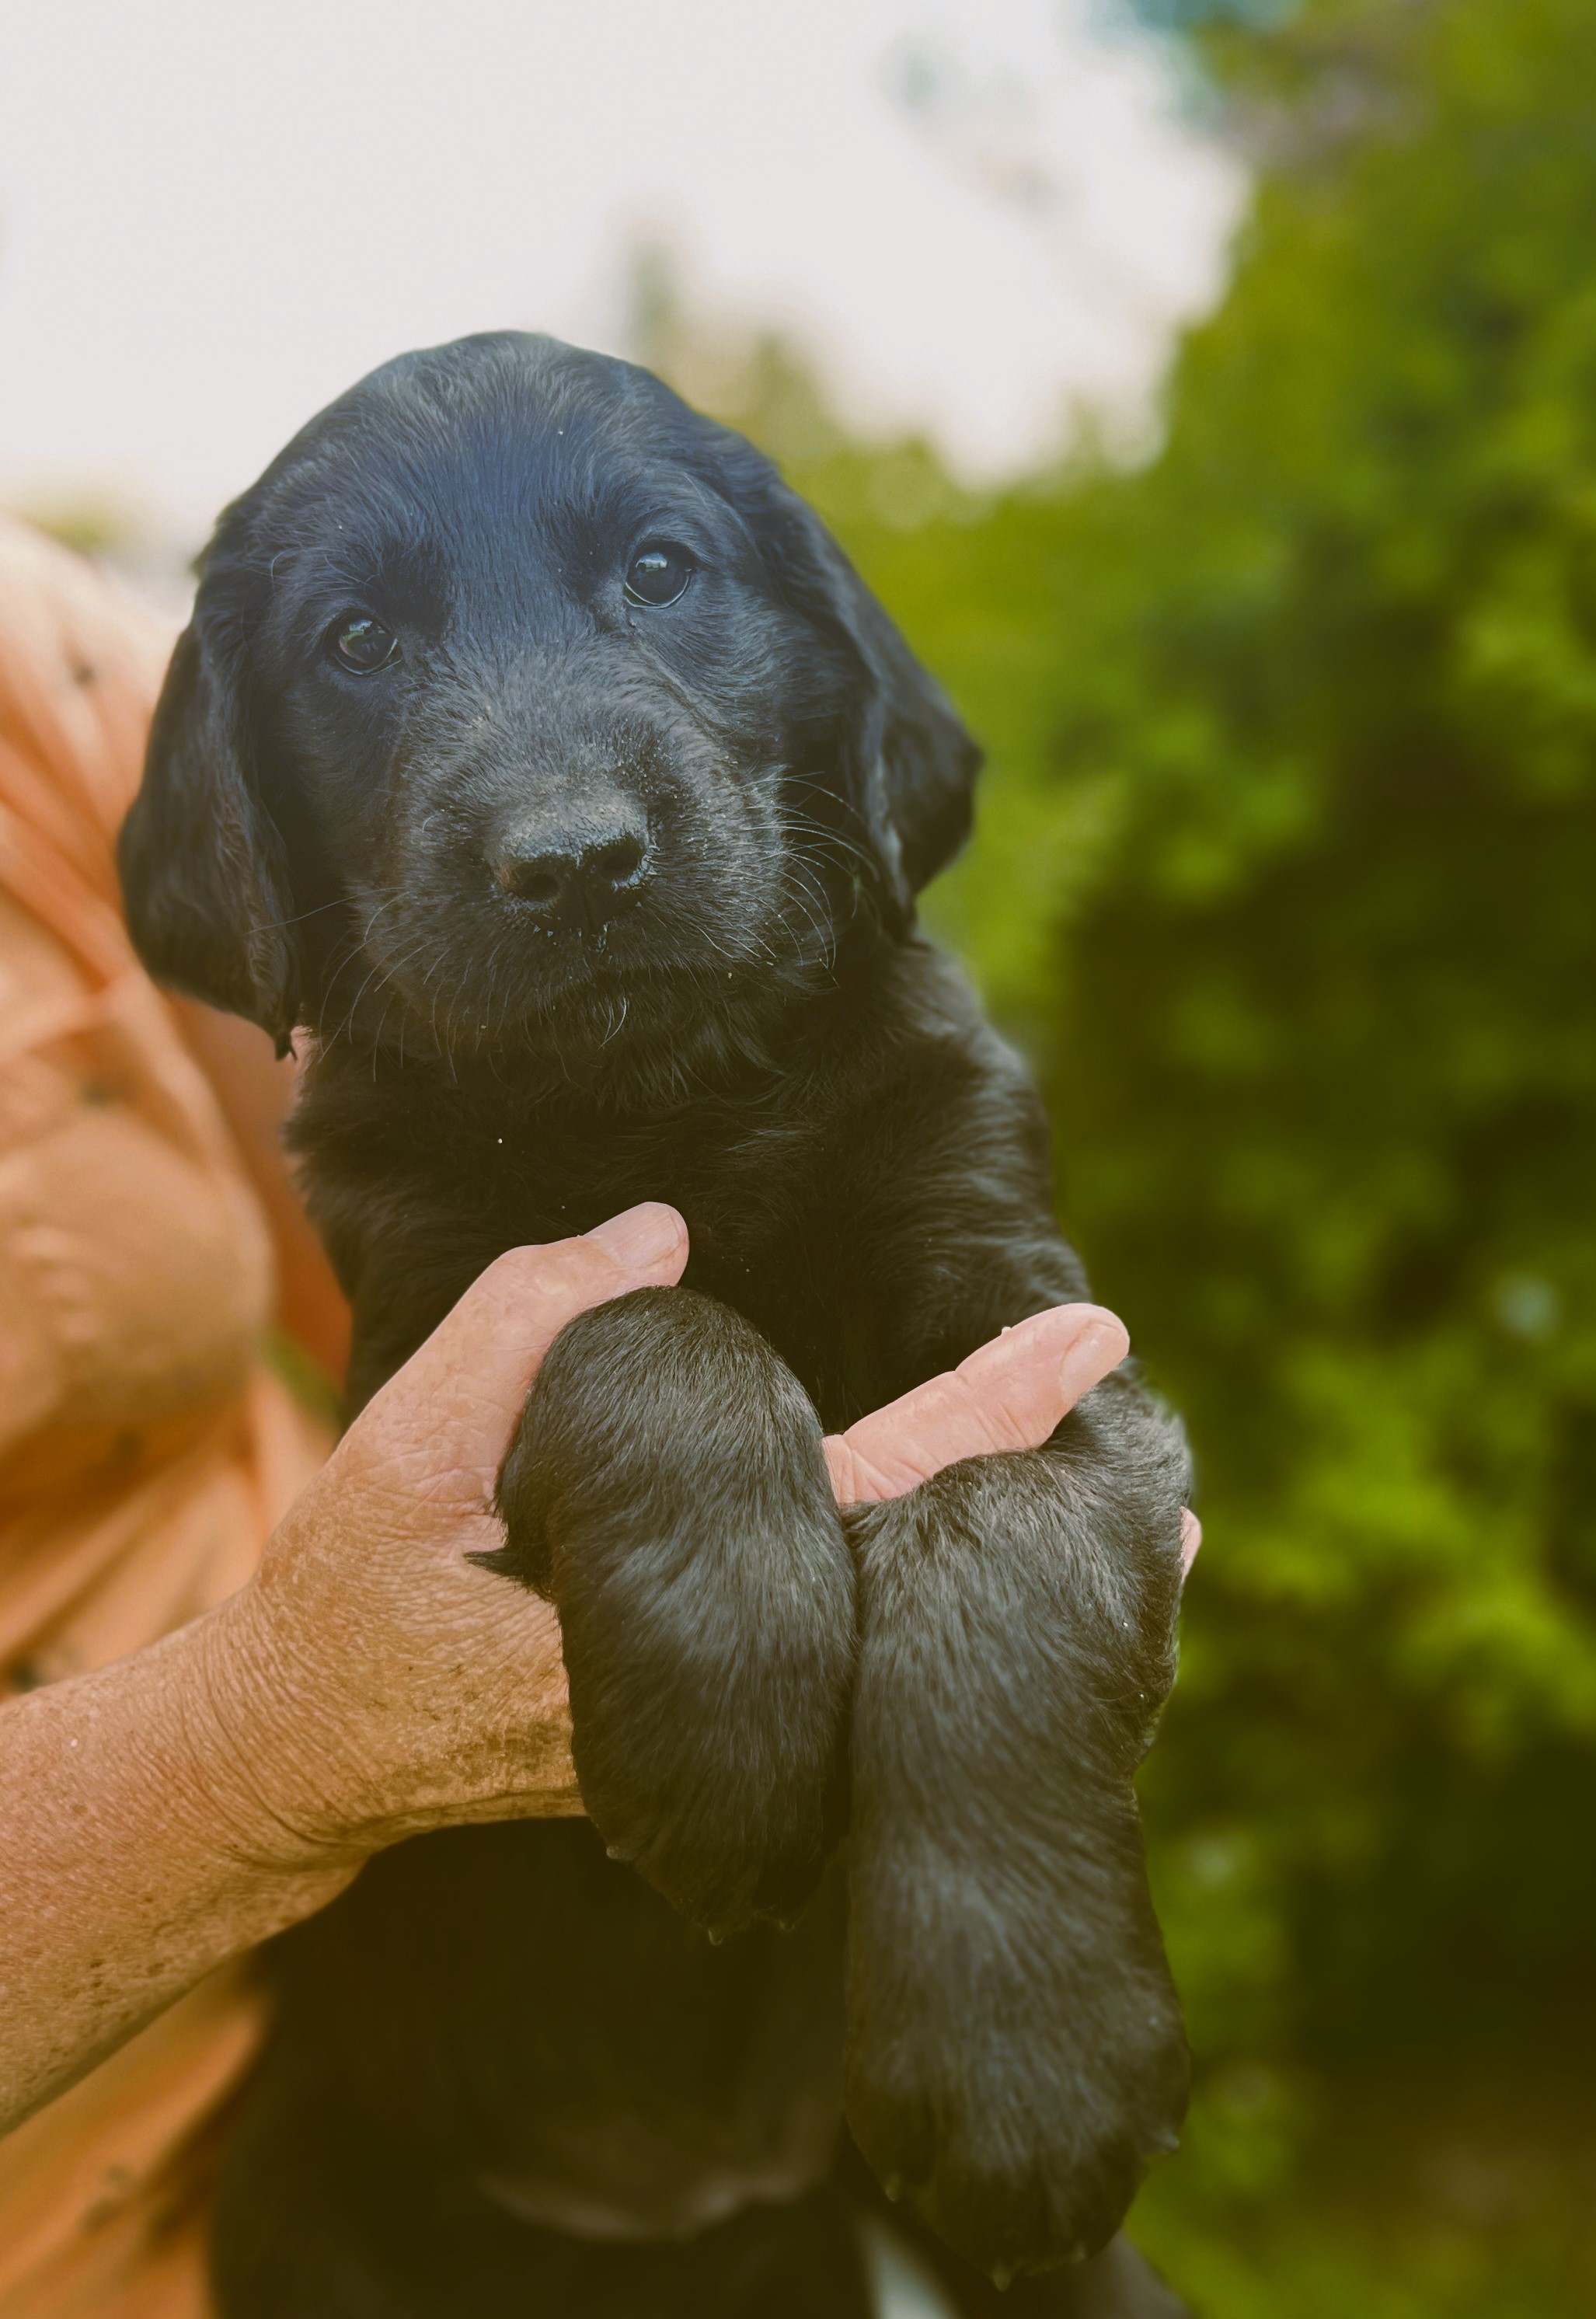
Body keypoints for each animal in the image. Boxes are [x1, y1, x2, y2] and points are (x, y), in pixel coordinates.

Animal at [118, 331, 1187, 2319]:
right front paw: (730, 1692)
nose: (572, 859)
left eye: (662, 570)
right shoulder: (439, 1312)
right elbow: (641, 1311)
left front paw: (1026, 2060)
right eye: (354, 640)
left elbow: (1001, 1524)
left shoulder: (1039, 1317)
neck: (675, 1100)